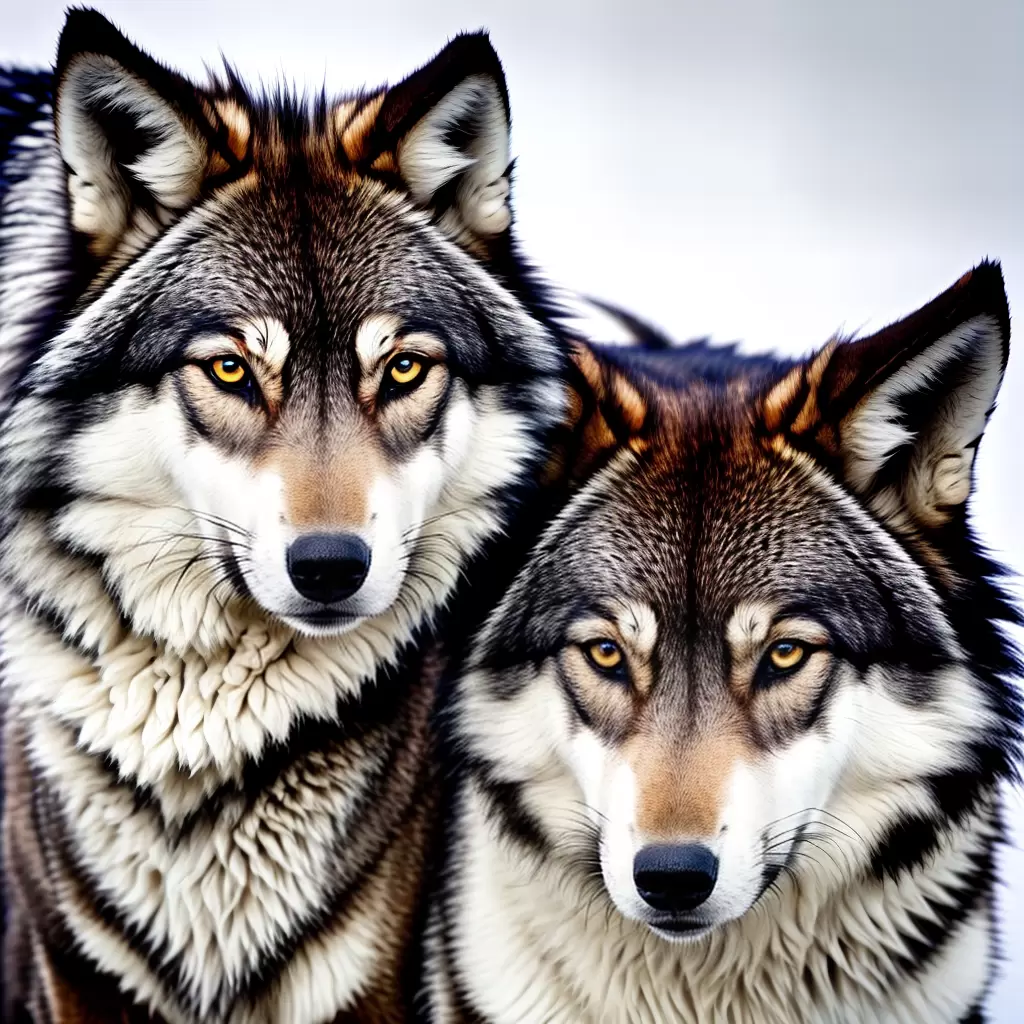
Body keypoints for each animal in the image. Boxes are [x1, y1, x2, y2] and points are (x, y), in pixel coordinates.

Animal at [0, 9, 567, 1023]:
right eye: (230, 369)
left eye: (404, 368)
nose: (331, 566)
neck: (198, 766)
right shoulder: (73, 978)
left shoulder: (370, 977)